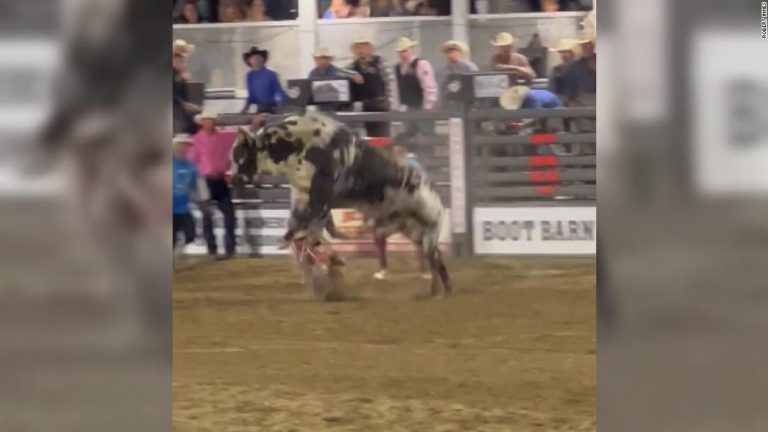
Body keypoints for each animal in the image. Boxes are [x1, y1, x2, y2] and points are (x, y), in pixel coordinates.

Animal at [231, 111, 452, 296]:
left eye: (240, 154)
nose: (231, 178)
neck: (298, 144)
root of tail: (430, 189)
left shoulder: (321, 194)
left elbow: (309, 230)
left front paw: (326, 263)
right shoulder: (303, 195)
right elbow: (306, 229)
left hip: (429, 231)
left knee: (435, 261)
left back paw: (440, 291)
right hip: (408, 230)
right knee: (436, 260)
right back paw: (438, 290)